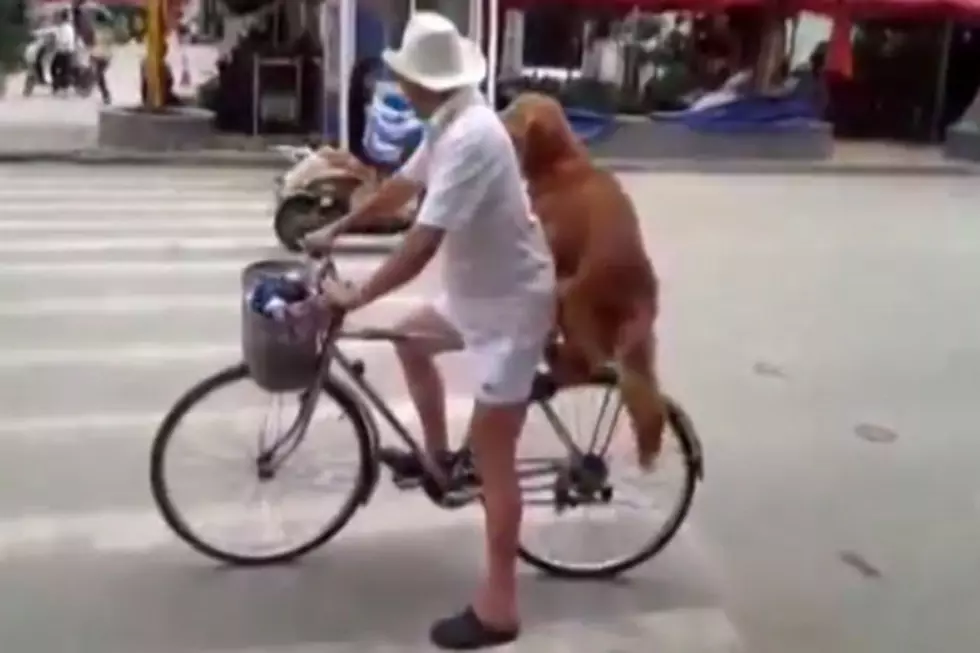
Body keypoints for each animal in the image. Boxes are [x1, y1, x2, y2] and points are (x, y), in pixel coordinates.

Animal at [506, 93, 668, 468]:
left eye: (512, 112)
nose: (494, 113)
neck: (562, 162)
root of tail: (638, 287)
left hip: (575, 299)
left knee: (587, 361)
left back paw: (557, 359)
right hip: (638, 345)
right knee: (645, 396)